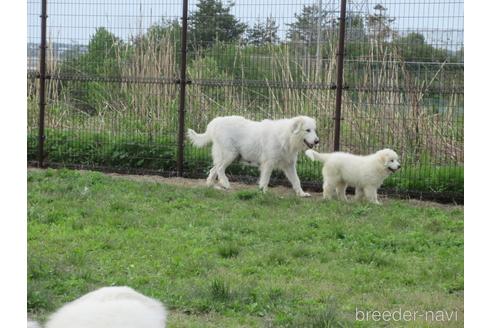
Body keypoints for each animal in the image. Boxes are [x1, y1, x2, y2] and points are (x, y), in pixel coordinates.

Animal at [187, 116, 320, 196]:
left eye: (314, 130)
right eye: (308, 130)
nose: (317, 141)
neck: (287, 136)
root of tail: (215, 122)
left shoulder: (289, 165)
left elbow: (297, 181)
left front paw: (301, 194)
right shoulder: (268, 164)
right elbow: (265, 180)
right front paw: (263, 192)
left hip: (225, 156)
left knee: (213, 170)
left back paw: (210, 185)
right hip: (230, 154)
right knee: (219, 169)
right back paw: (225, 184)